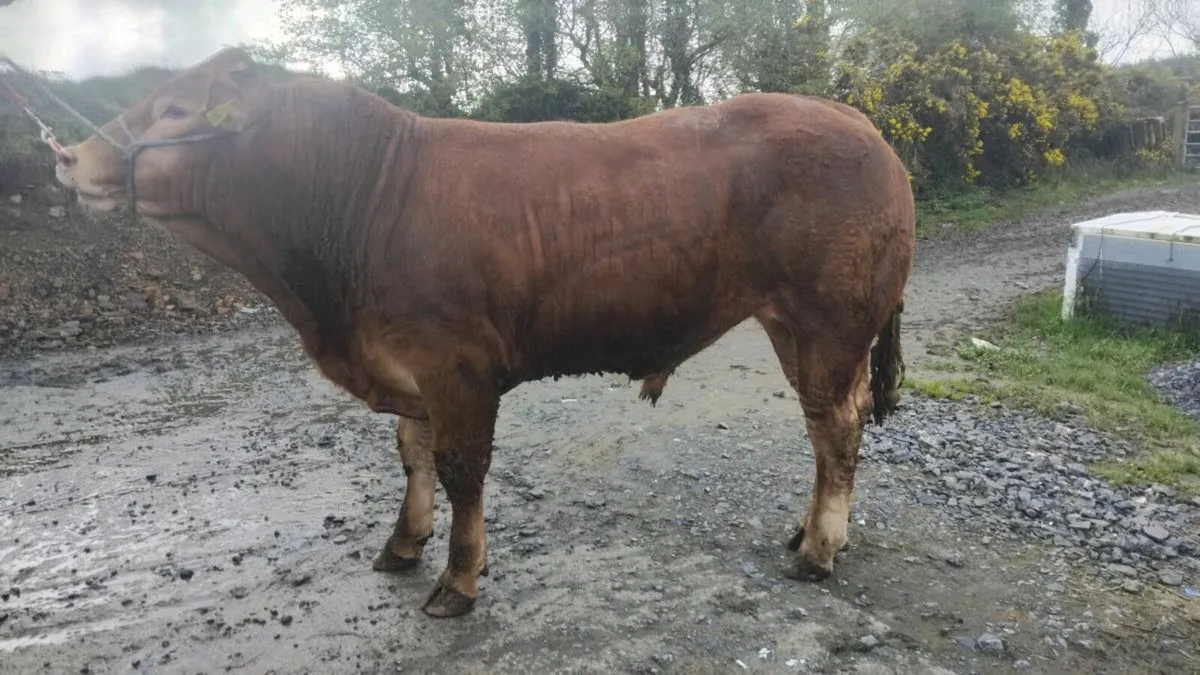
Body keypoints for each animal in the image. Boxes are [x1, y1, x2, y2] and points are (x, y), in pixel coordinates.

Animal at [54, 47, 915, 618]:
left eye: (175, 111)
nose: (67, 154)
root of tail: (855, 119)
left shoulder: (457, 364)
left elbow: (461, 467)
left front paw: (457, 579)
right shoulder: (405, 364)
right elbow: (413, 455)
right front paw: (402, 543)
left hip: (828, 320)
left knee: (835, 429)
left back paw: (820, 548)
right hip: (800, 326)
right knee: (830, 428)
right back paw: (810, 530)